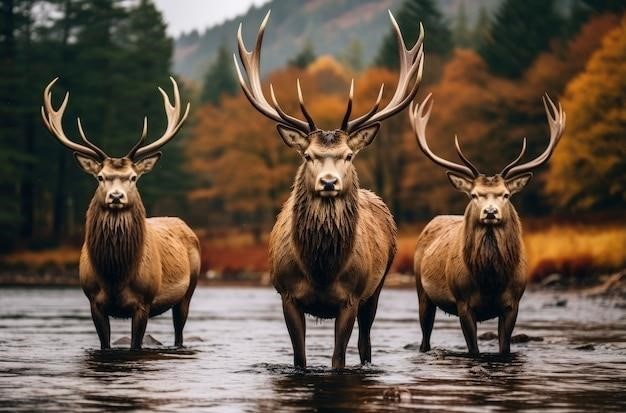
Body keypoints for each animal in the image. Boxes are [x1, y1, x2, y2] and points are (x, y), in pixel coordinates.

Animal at [40, 76, 200, 348]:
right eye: (100, 177)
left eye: (133, 177)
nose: (116, 196)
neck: (115, 276)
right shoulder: (93, 301)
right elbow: (105, 343)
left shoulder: (144, 302)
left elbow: (136, 344)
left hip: (188, 291)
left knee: (179, 331)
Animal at [235, 11, 424, 366]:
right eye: (308, 155)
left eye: (348, 155)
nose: (328, 182)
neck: (321, 269)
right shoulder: (287, 294)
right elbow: (299, 358)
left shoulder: (351, 297)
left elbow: (338, 359)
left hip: (377, 287)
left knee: (365, 344)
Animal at [412, 94, 564, 354]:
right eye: (474, 195)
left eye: (506, 194)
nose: (490, 212)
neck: (491, 281)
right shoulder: (463, 302)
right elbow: (473, 350)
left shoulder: (513, 303)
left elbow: (505, 348)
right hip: (422, 292)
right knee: (425, 338)